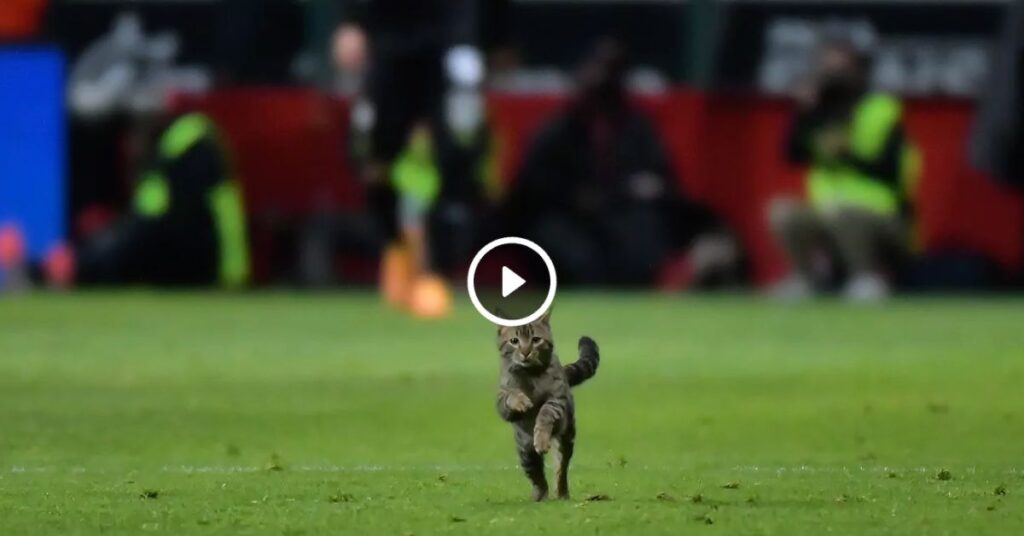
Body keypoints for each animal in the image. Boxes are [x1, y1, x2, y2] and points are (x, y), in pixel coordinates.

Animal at [495, 309, 598, 504]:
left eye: (536, 339)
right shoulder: (501, 403)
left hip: (566, 439)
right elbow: (511, 396)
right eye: (514, 341)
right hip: (525, 451)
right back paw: (539, 495)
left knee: (561, 471)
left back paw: (561, 492)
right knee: (537, 476)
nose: (526, 352)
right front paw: (521, 401)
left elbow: (545, 413)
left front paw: (541, 438)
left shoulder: (557, 399)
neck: (530, 374)